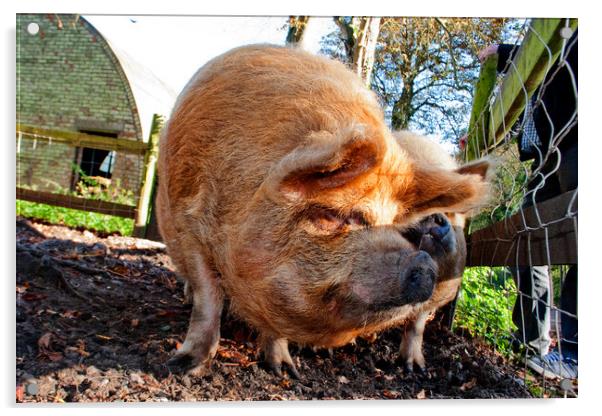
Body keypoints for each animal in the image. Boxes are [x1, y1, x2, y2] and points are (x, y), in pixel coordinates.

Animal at [157, 44, 490, 376]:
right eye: (332, 216)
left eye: (393, 222)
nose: (422, 261)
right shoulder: (189, 226)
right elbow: (208, 300)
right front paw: (182, 366)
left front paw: (285, 370)